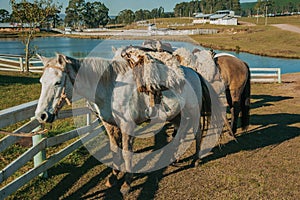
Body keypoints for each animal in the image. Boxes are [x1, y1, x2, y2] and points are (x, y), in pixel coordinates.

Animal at [35, 52, 210, 194]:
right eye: (41, 81)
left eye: (58, 82)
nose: (41, 115)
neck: (111, 88)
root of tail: (194, 73)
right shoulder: (110, 125)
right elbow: (114, 150)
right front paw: (113, 177)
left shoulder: (128, 126)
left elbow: (126, 153)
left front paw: (126, 184)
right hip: (176, 114)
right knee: (179, 133)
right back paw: (175, 158)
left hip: (193, 112)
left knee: (198, 132)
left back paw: (196, 159)